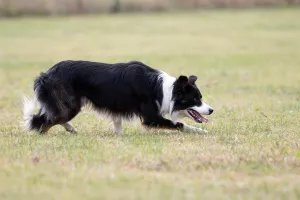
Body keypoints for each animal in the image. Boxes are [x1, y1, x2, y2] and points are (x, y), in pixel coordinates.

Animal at [24, 60, 213, 135]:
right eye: (195, 99)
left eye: (200, 97)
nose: (211, 110)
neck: (164, 90)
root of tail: (46, 75)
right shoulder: (151, 117)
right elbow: (179, 124)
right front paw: (202, 132)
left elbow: (118, 125)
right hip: (69, 106)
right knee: (44, 122)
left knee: (49, 118)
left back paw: (70, 128)